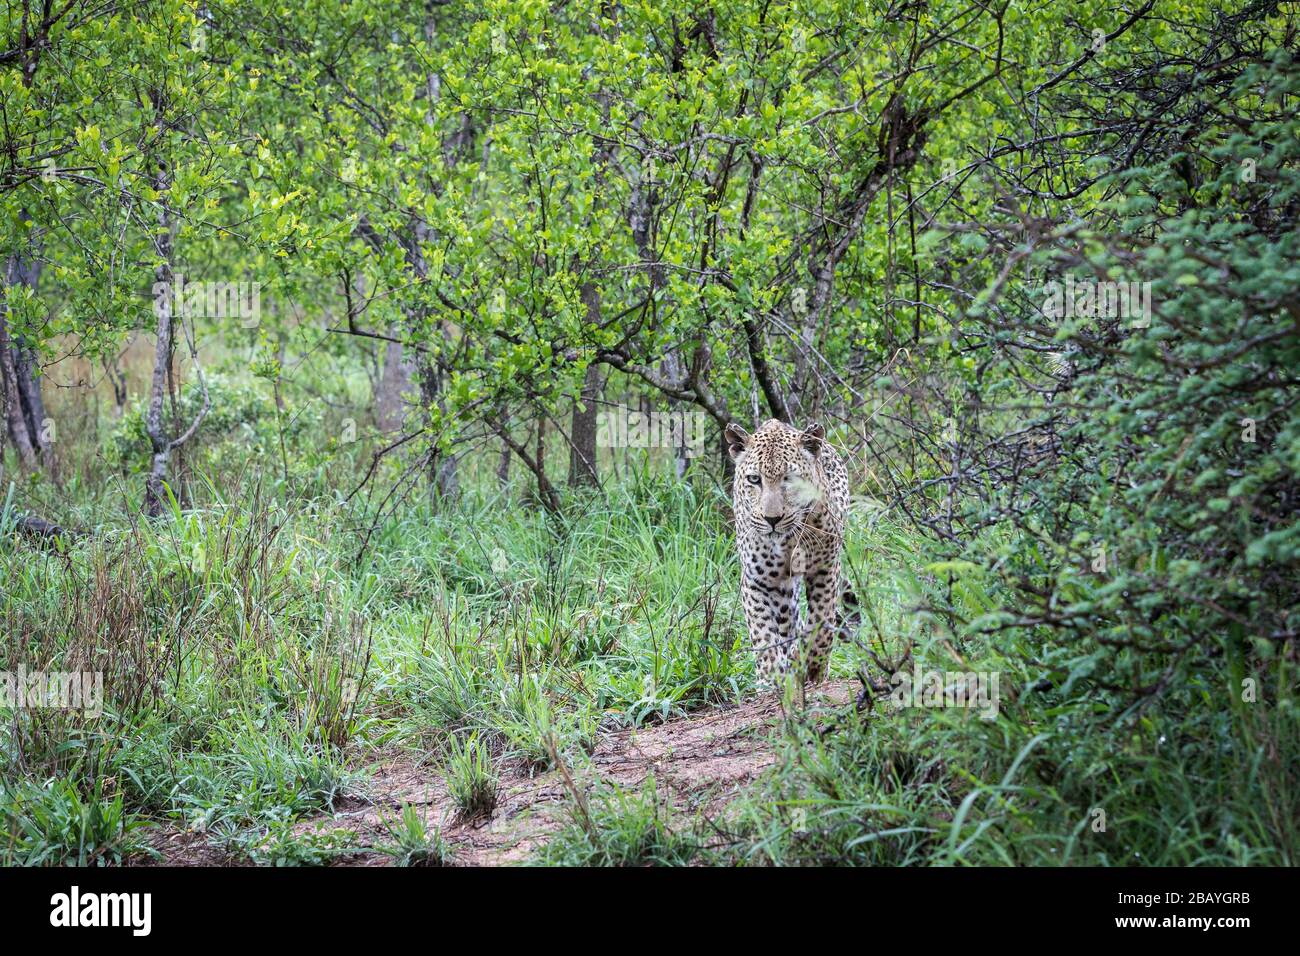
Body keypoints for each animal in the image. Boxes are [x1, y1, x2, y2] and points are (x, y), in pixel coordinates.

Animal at [728, 418, 857, 686]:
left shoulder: (826, 569)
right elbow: (763, 633)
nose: (772, 519)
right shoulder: (756, 581)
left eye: (789, 478)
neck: (787, 542)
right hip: (783, 592)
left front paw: (813, 666)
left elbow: (821, 621)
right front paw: (772, 678)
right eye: (754, 479)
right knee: (787, 622)